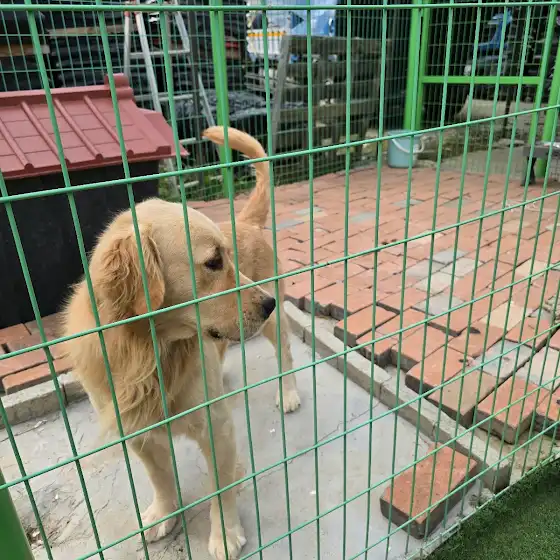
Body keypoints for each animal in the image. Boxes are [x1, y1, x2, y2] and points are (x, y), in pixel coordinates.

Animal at [62, 127, 299, 560]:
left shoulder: (216, 426)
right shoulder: (137, 431)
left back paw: (288, 393)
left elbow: (221, 488)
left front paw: (224, 535)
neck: (150, 354)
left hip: (275, 328)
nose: (267, 304)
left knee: (286, 354)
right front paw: (163, 512)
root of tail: (245, 221)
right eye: (213, 262)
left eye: (226, 256)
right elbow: (159, 477)